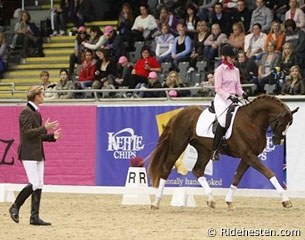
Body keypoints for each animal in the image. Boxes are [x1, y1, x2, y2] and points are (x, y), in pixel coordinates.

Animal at [148, 94, 298, 209]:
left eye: (290, 124)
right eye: (283, 123)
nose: (279, 142)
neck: (251, 121)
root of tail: (179, 114)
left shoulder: (247, 157)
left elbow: (237, 177)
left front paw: (229, 202)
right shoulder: (249, 156)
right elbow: (269, 173)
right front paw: (286, 200)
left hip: (204, 150)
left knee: (197, 170)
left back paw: (211, 199)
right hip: (178, 145)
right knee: (166, 168)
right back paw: (156, 202)